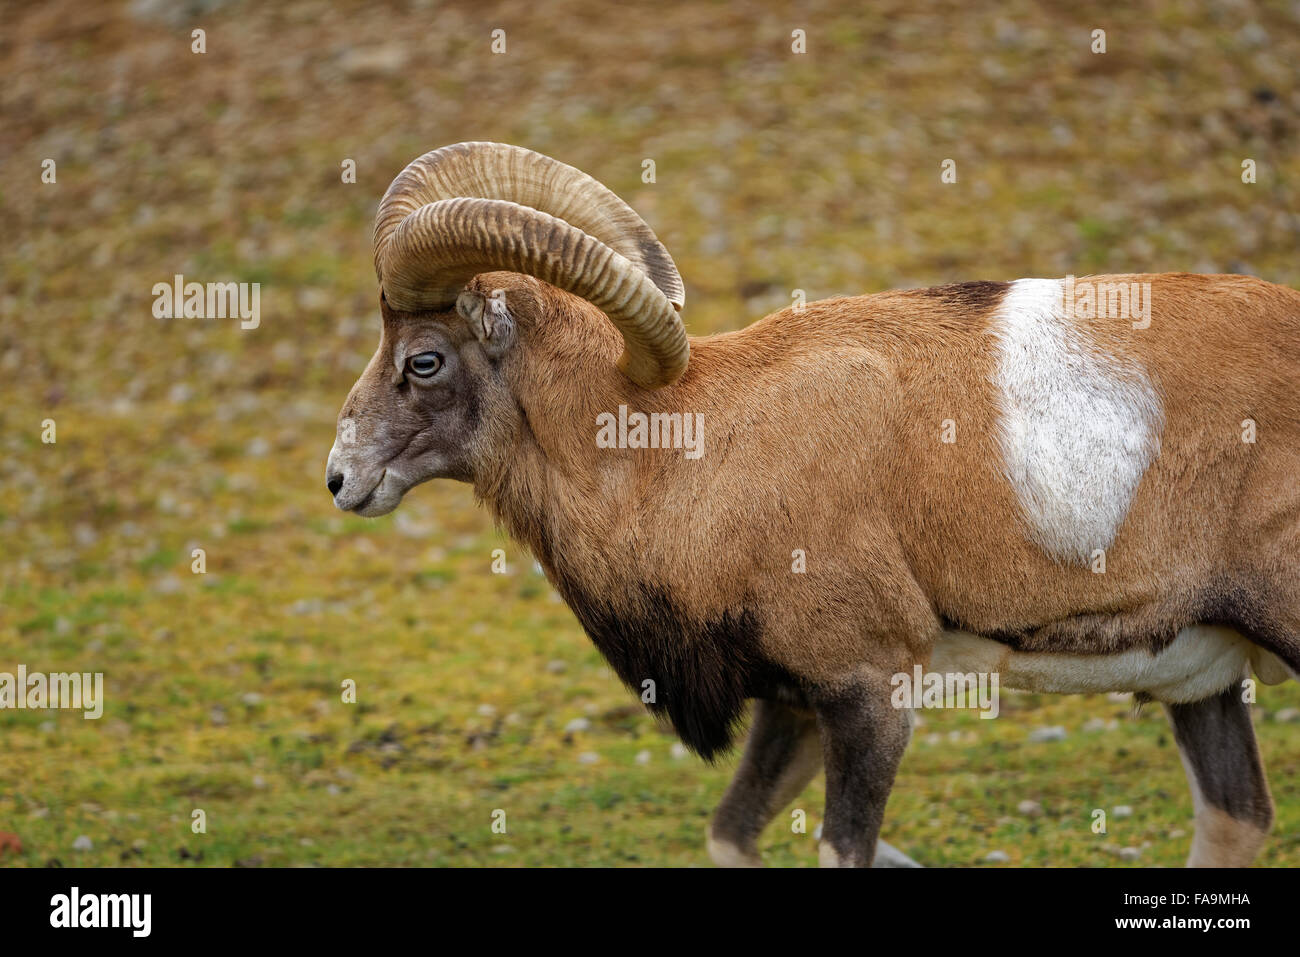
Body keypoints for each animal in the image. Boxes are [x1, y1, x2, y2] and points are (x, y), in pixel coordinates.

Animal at [325, 141, 1300, 868]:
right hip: (1200, 682)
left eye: (422, 359)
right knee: (1235, 818)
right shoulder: (791, 704)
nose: (341, 479)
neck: (681, 451)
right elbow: (730, 835)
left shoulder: (871, 693)